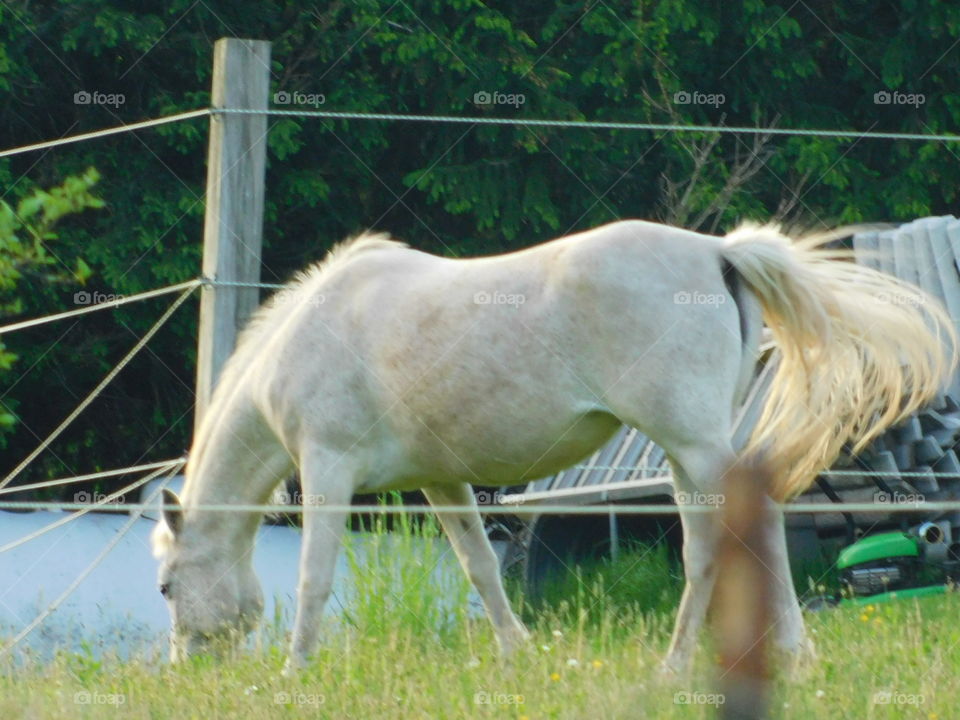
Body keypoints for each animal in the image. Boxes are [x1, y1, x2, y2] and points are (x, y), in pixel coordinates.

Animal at [151, 219, 956, 673]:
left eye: (164, 587)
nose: (188, 670)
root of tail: (719, 253)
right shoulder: (441, 481)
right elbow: (481, 569)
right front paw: (517, 656)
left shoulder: (327, 468)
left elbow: (313, 577)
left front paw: (295, 673)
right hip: (687, 452)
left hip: (693, 445)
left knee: (730, 540)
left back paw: (714, 663)